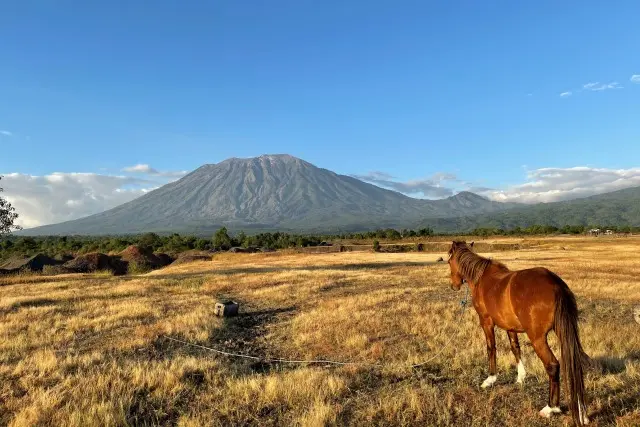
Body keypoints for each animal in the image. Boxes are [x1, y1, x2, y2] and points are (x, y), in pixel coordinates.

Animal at [444, 242, 592, 426]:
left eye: (449, 261)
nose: (454, 285)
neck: (482, 278)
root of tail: (556, 284)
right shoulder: (511, 327)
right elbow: (515, 348)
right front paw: (521, 377)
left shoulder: (486, 322)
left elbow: (491, 348)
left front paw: (490, 379)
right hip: (563, 332)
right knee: (574, 363)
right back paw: (581, 412)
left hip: (537, 339)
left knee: (552, 366)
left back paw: (551, 408)